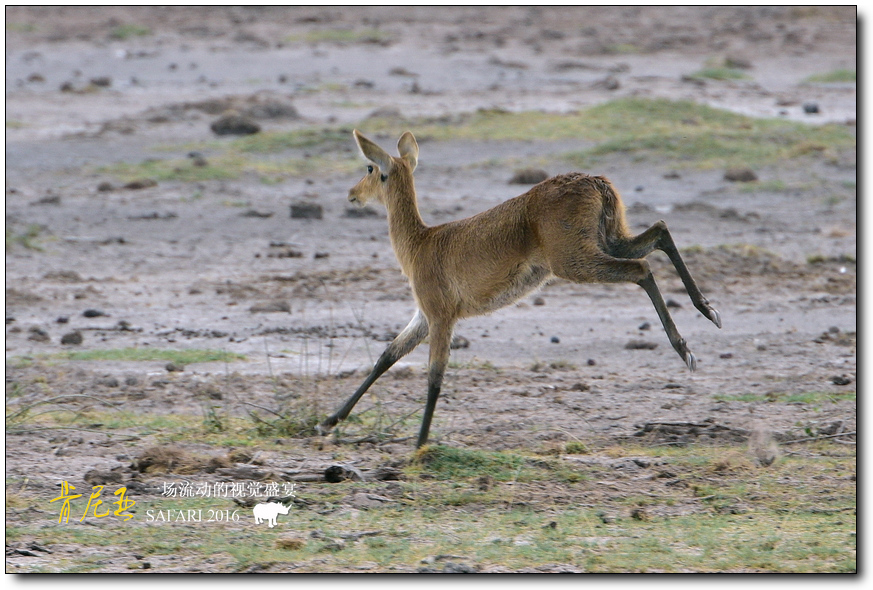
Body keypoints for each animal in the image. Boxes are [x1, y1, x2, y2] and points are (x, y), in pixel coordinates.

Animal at [316, 131, 720, 448]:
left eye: (370, 168)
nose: (352, 194)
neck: (421, 243)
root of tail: (596, 182)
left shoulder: (441, 316)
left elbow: (434, 375)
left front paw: (419, 446)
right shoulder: (424, 315)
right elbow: (387, 355)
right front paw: (329, 421)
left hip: (575, 261)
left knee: (642, 268)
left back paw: (687, 348)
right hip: (609, 239)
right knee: (660, 231)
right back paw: (708, 311)